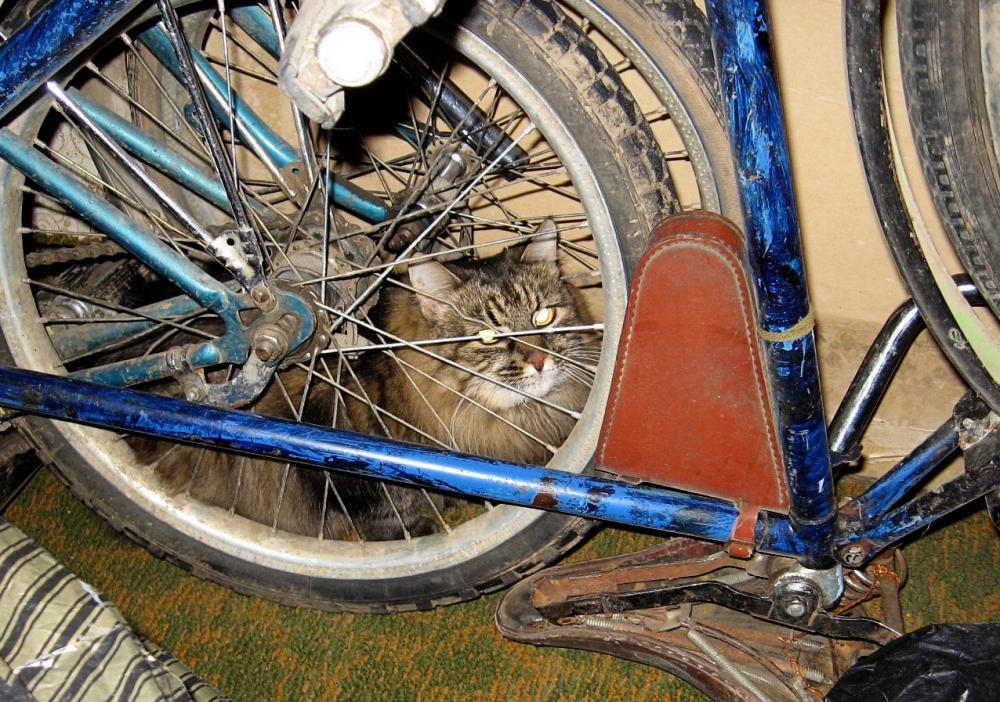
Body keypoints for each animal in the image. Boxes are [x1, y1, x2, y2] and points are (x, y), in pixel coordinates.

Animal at [136, 220, 599, 540]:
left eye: (544, 316)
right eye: (488, 336)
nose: (539, 359)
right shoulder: (336, 441)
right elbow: (384, 507)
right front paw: (417, 528)